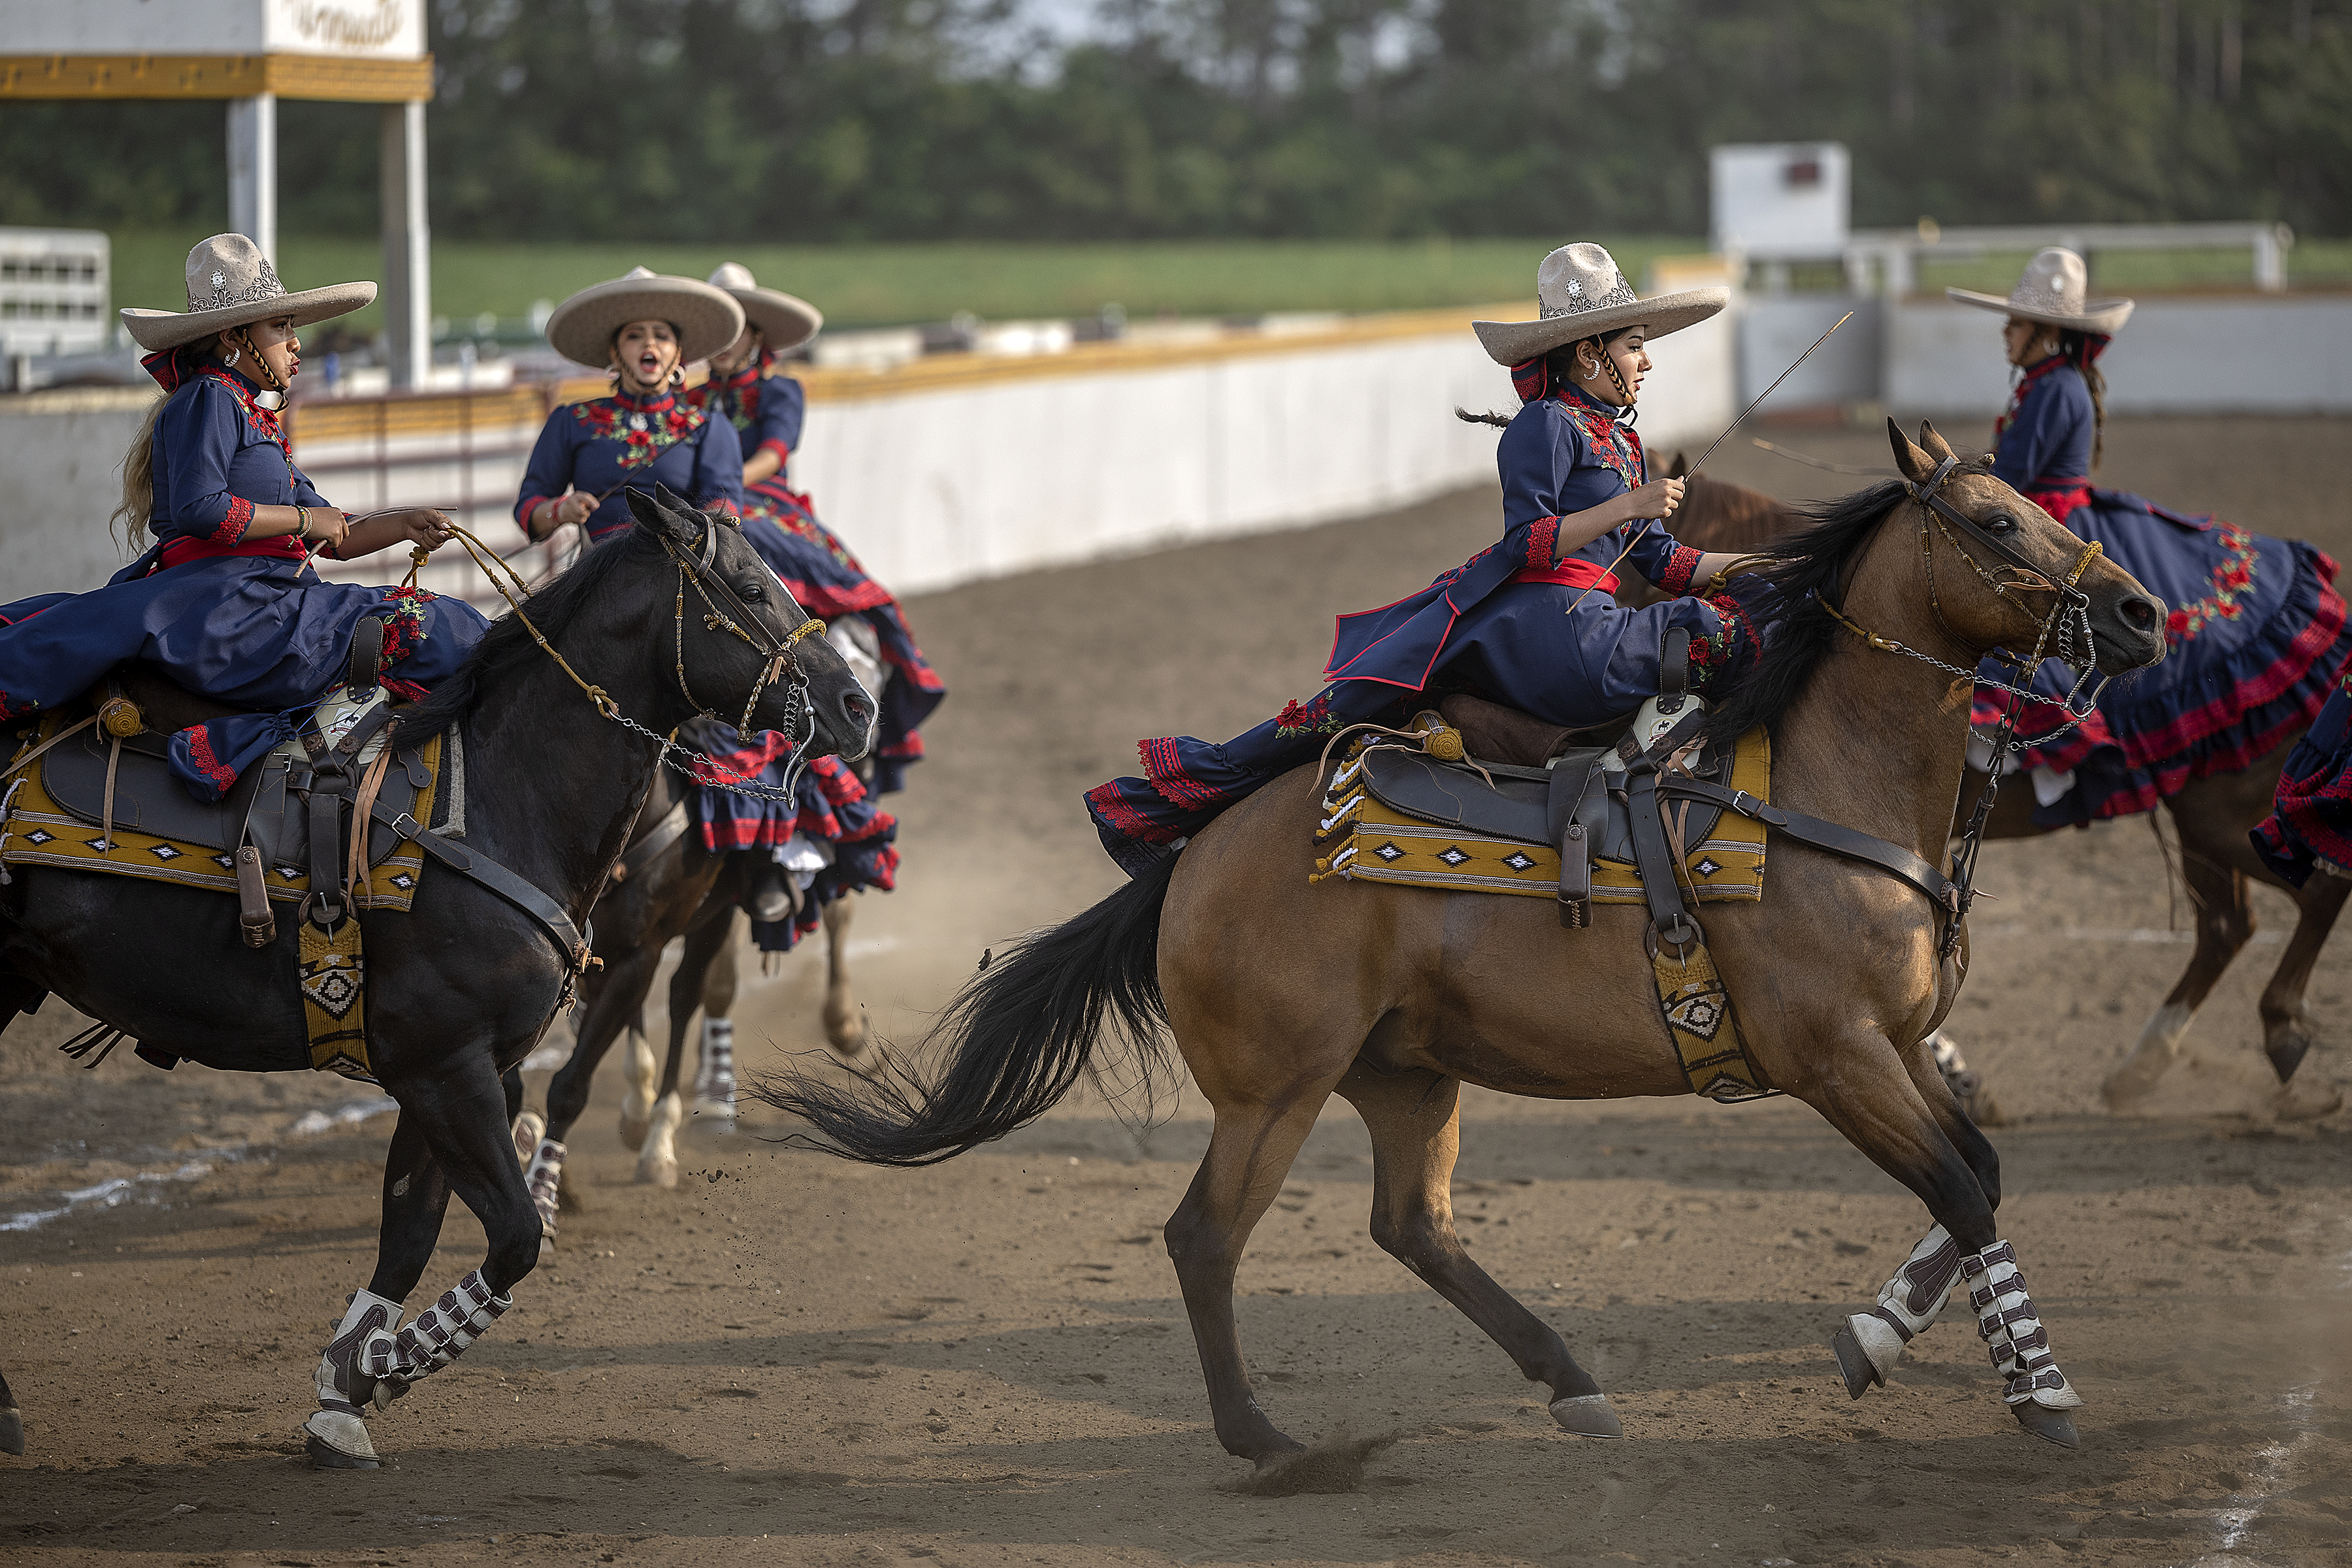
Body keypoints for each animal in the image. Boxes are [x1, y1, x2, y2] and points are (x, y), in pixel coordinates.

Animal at [0, 491, 875, 1476]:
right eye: (752, 587)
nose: (859, 705)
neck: (499, 796)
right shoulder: (443, 1068)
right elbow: (516, 1236)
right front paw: (382, 1367)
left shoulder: (455, 1069)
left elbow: (411, 1232)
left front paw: (344, 1390)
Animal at [766, 423, 2164, 1467]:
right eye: (1996, 524)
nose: (2142, 611)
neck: (1823, 788)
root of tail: (1196, 854)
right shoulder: (1836, 1057)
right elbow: (1961, 1188)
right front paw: (2035, 1391)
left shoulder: (1900, 1045)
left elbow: (1979, 1172)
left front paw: (1887, 1339)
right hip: (1276, 1090)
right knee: (1206, 1238)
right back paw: (1265, 1441)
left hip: (1405, 1075)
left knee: (1412, 1227)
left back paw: (1569, 1379)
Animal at [1646, 463, 2342, 1114]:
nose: (2146, 614)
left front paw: (1957, 1070)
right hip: (2209, 823)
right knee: (2235, 922)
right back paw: (2153, 1062)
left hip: (2224, 817)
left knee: (2311, 893)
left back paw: (2270, 1033)